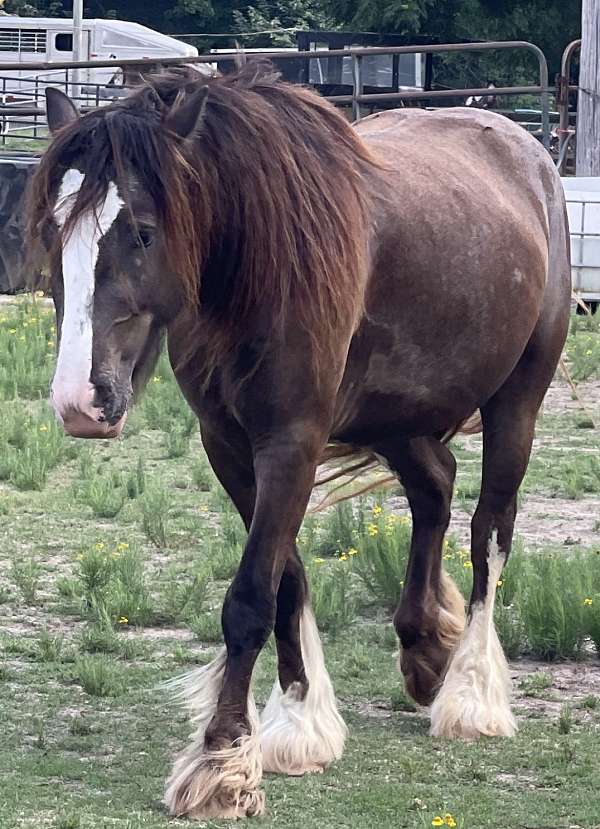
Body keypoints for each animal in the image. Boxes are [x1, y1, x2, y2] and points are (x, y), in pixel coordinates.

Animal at [29, 68, 572, 820]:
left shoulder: (292, 442)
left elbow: (250, 597)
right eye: (54, 231)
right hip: (396, 415)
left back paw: (471, 692)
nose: (80, 401)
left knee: (490, 529)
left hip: (516, 398)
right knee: (434, 486)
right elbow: (285, 582)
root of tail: (530, 151)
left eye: (141, 232)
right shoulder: (230, 446)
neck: (256, 260)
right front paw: (299, 719)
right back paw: (426, 647)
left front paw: (223, 761)